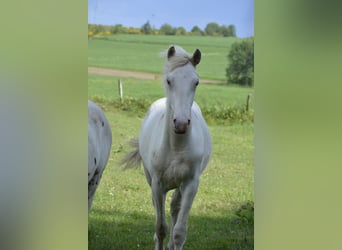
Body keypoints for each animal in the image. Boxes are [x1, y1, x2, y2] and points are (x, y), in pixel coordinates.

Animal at [123, 46, 211, 249]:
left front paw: (174, 242)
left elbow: (179, 231)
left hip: (179, 186)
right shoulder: (157, 184)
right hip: (153, 182)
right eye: (169, 81)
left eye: (196, 82)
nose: (181, 123)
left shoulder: (191, 184)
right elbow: (160, 227)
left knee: (174, 207)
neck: (176, 148)